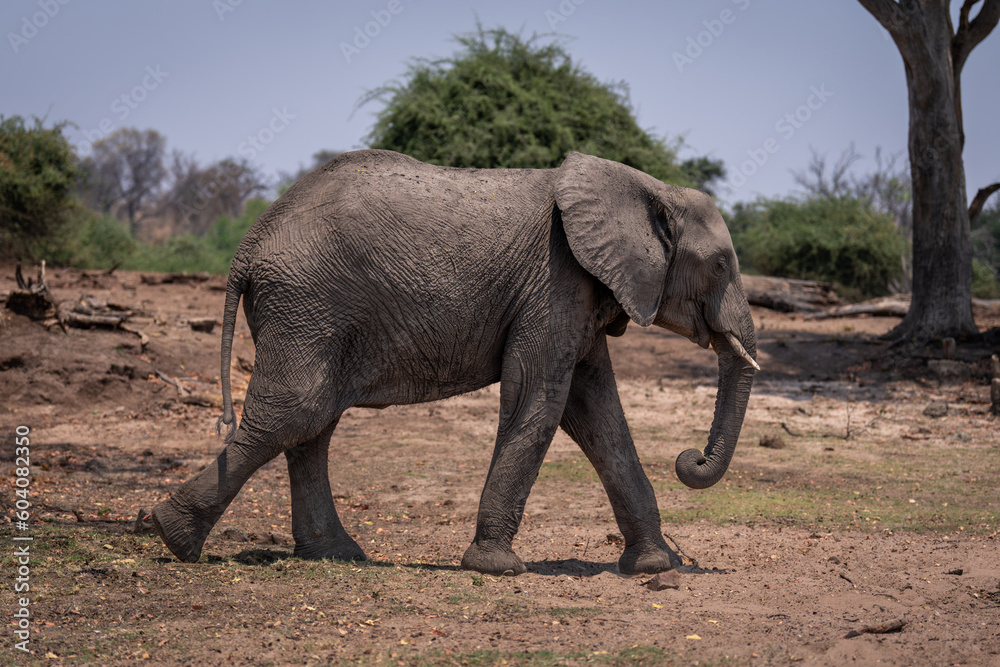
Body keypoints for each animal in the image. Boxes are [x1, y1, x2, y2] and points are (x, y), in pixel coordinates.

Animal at [151, 149, 758, 576]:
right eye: (720, 264)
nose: (689, 458)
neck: (648, 188)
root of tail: (249, 244)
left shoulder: (582, 292)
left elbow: (597, 412)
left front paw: (652, 567)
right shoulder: (555, 280)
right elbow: (542, 396)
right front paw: (496, 568)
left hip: (310, 312)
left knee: (311, 422)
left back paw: (334, 555)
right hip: (307, 302)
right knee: (296, 412)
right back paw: (171, 535)